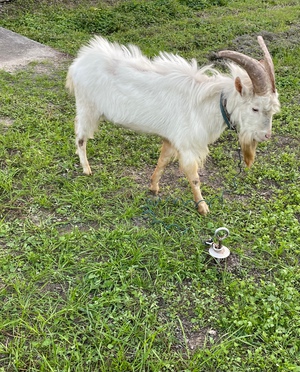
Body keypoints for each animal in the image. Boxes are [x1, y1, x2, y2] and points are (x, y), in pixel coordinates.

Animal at [65, 35, 278, 215]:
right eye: (255, 108)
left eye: (272, 110)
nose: (266, 135)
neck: (205, 104)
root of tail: (79, 62)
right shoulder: (187, 144)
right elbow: (194, 176)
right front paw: (203, 207)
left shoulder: (171, 138)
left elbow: (163, 160)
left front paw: (153, 187)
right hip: (87, 107)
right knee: (80, 136)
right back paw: (86, 169)